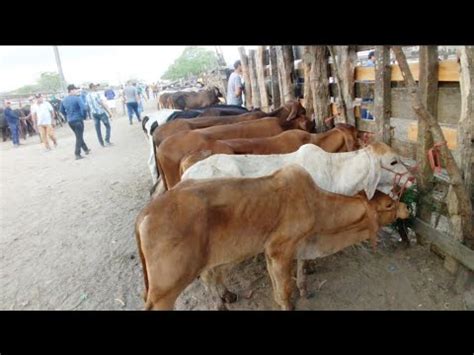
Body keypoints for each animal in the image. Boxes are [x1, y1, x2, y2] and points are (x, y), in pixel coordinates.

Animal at [135, 165, 410, 310]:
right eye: (388, 204)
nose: (407, 208)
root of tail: (146, 212)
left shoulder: (283, 251)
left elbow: (290, 281)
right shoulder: (280, 250)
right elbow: (285, 289)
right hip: (165, 288)